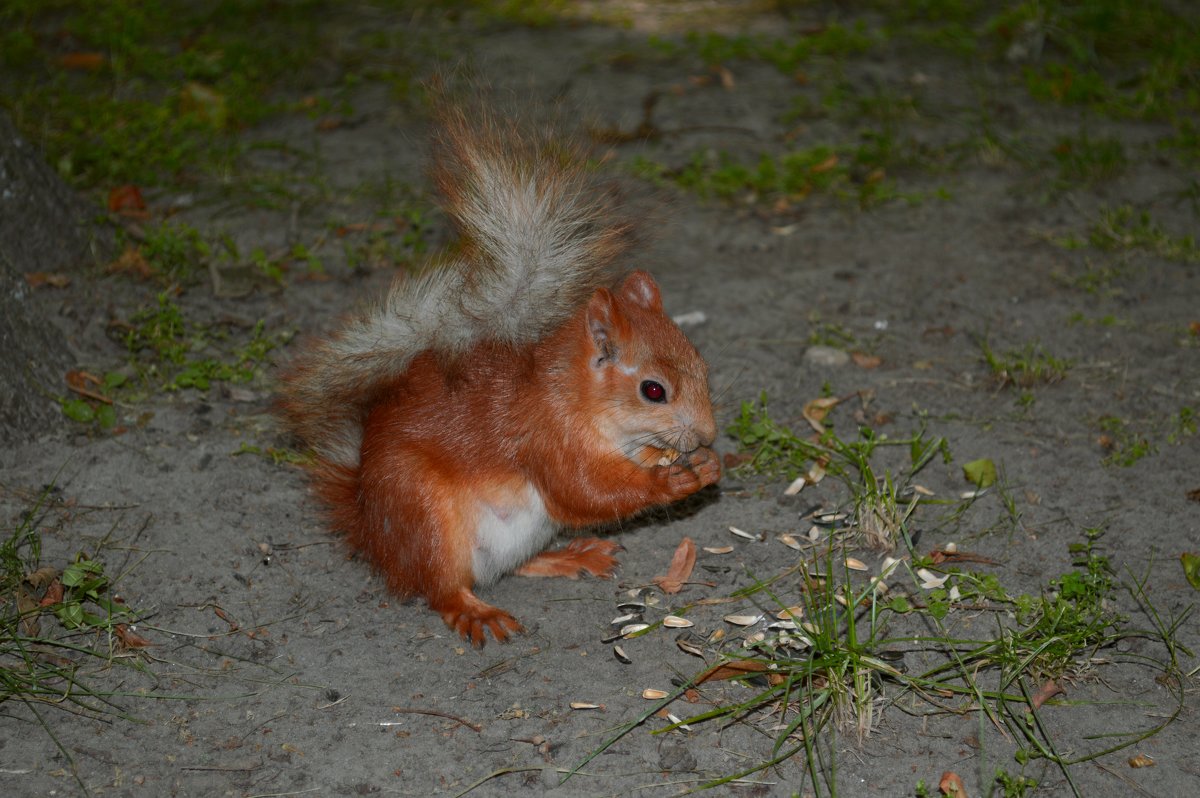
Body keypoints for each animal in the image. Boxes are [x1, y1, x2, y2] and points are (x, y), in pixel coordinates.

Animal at [274, 102, 720, 643]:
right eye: (653, 390)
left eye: (700, 364)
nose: (708, 434)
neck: (573, 396)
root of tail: (374, 531)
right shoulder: (544, 437)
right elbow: (585, 491)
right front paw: (673, 480)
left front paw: (690, 460)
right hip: (423, 512)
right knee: (442, 586)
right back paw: (475, 610)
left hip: (521, 534)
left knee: (508, 568)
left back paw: (571, 556)